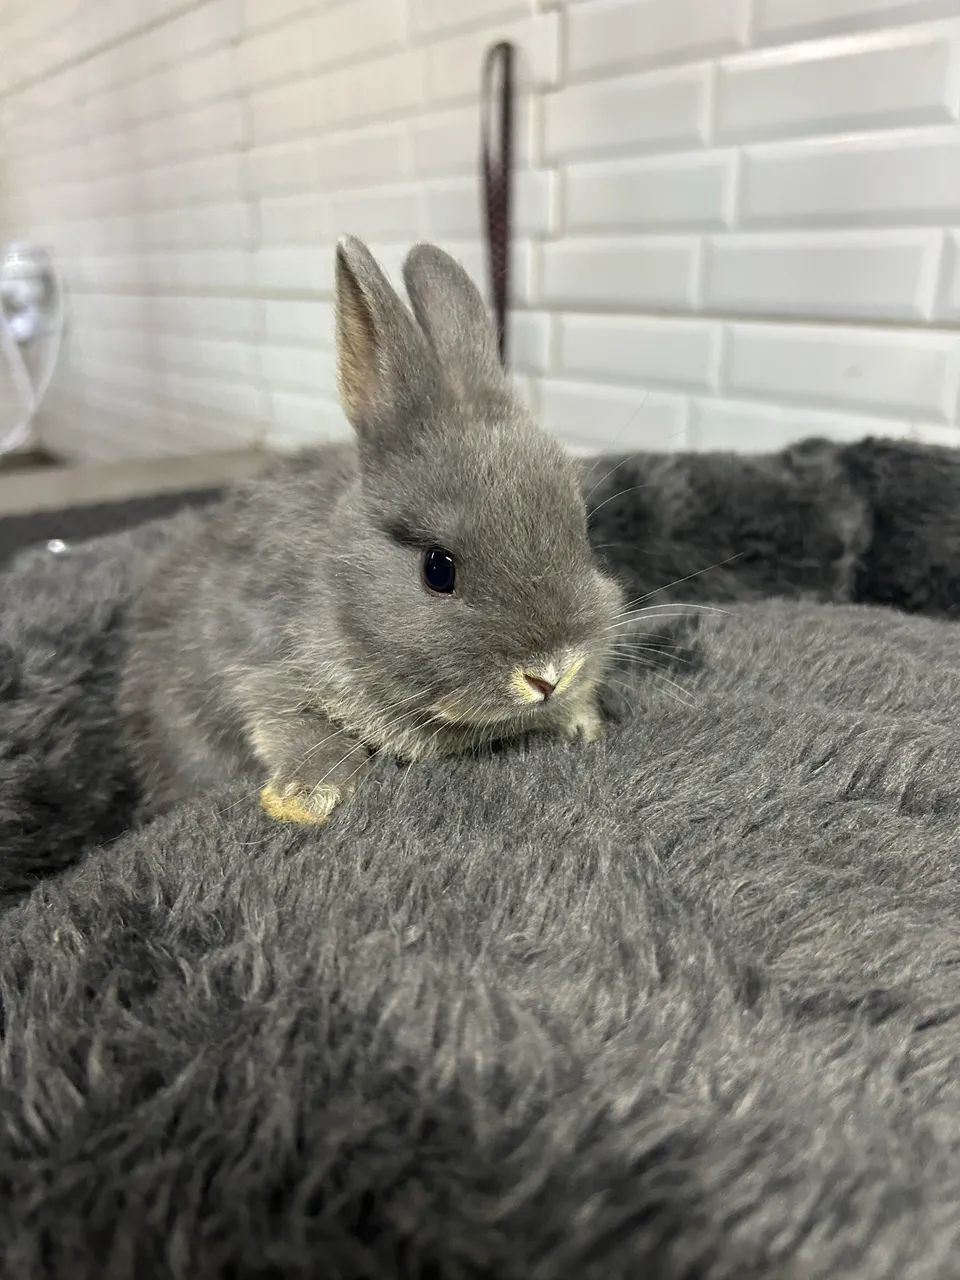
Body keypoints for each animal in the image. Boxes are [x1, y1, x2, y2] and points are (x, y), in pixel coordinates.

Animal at [120, 238, 624, 825]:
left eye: (582, 535)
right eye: (438, 569)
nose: (551, 673)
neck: (340, 595)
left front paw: (582, 719)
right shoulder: (262, 671)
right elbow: (295, 724)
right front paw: (305, 799)